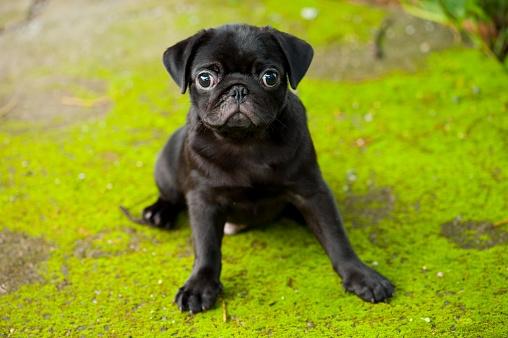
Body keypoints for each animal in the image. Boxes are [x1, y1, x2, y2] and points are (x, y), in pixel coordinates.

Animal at [141, 25, 394, 312]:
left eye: (270, 77)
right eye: (205, 79)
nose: (238, 89)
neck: (245, 142)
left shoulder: (312, 192)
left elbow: (336, 236)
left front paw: (360, 275)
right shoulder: (204, 199)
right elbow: (206, 248)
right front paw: (199, 286)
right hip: (167, 166)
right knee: (170, 195)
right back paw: (159, 213)